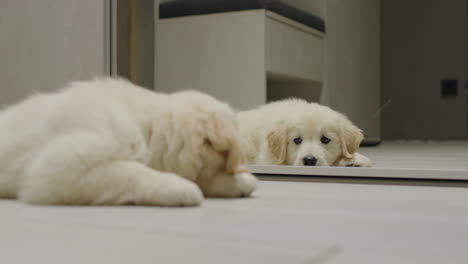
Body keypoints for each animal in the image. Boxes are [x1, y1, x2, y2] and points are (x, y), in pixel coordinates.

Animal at [0, 78, 256, 206]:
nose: (243, 170)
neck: (149, 128)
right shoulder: (60, 166)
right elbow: (132, 171)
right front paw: (181, 188)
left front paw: (243, 182)